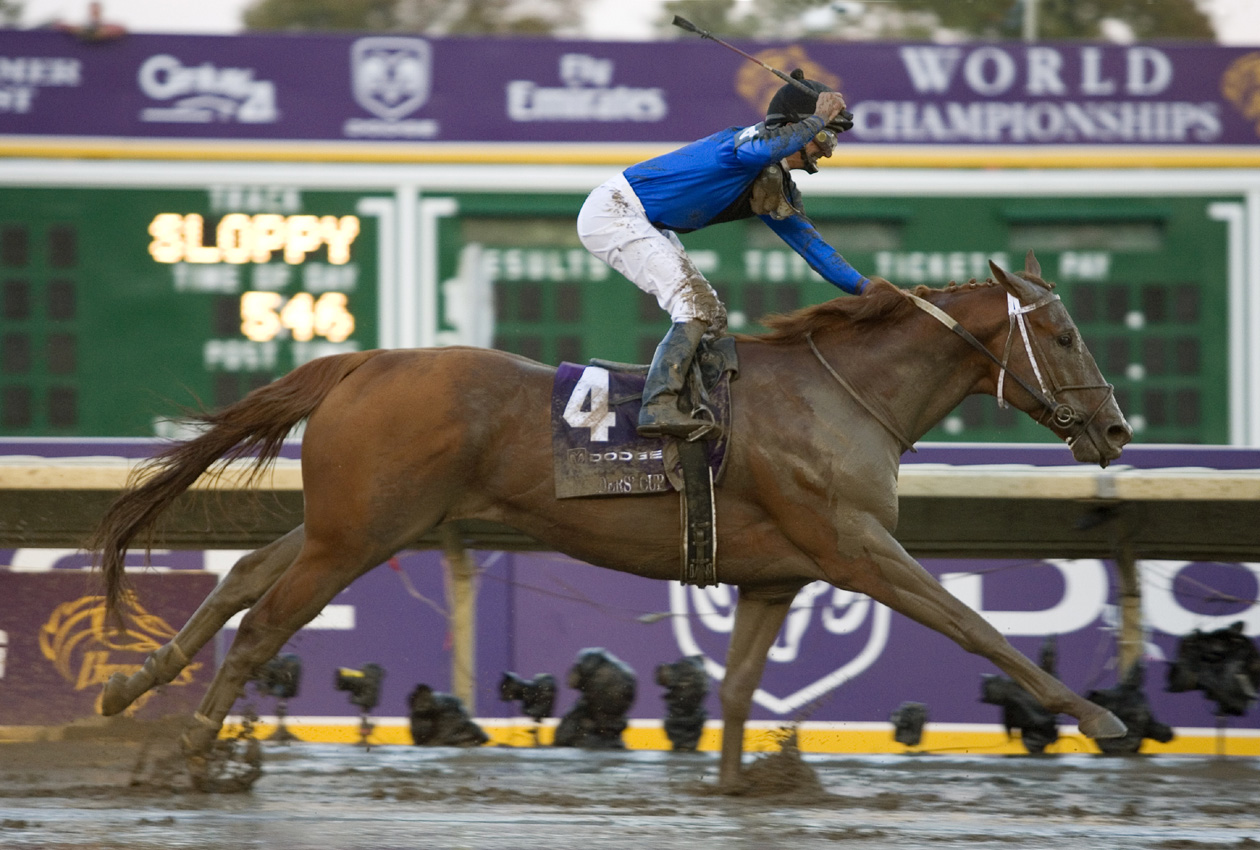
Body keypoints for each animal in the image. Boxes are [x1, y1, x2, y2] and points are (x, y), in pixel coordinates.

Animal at [91, 253, 1134, 790]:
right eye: (1065, 332)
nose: (1118, 428)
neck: (840, 399)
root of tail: (362, 360)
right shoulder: (858, 549)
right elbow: (976, 626)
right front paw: (1100, 718)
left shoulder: (773, 578)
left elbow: (739, 691)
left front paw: (741, 784)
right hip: (361, 534)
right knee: (269, 618)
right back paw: (195, 749)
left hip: (349, 523)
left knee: (243, 577)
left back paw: (129, 689)